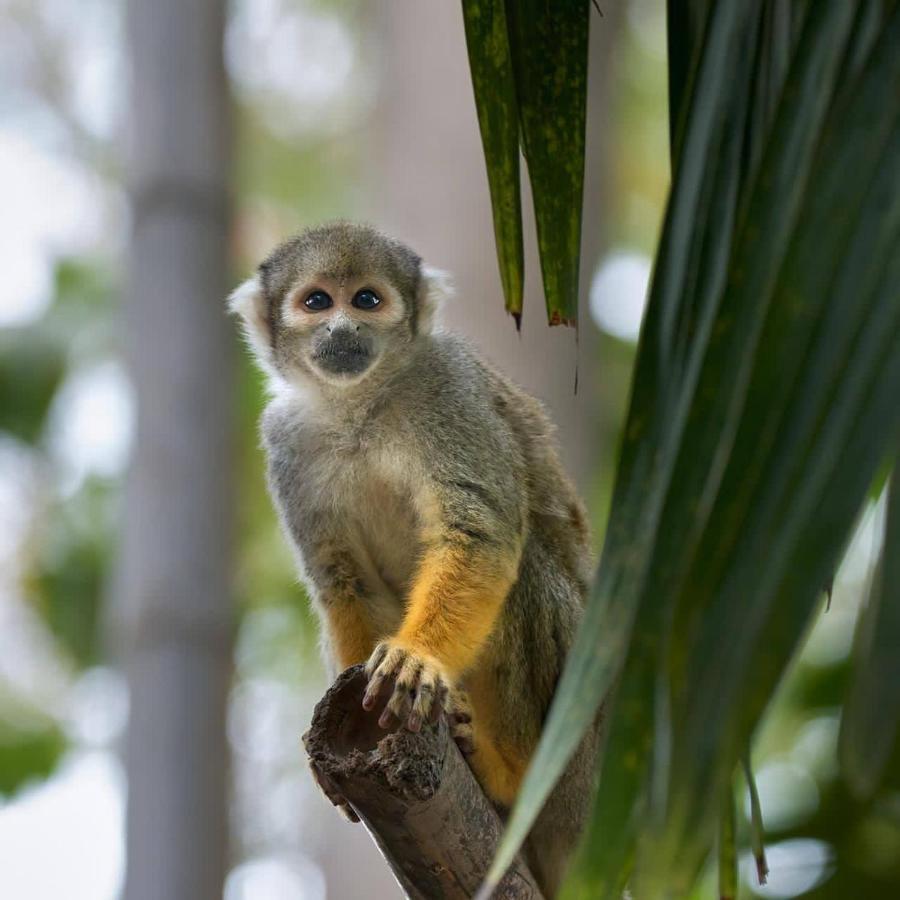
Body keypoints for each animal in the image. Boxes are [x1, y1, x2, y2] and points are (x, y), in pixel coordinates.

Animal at [230, 220, 596, 892]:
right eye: (317, 301)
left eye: (366, 300)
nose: (341, 330)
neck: (359, 405)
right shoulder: (286, 440)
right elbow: (342, 579)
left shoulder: (449, 391)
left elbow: (478, 535)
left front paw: (416, 658)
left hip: (580, 756)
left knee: (526, 569)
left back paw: (509, 771)